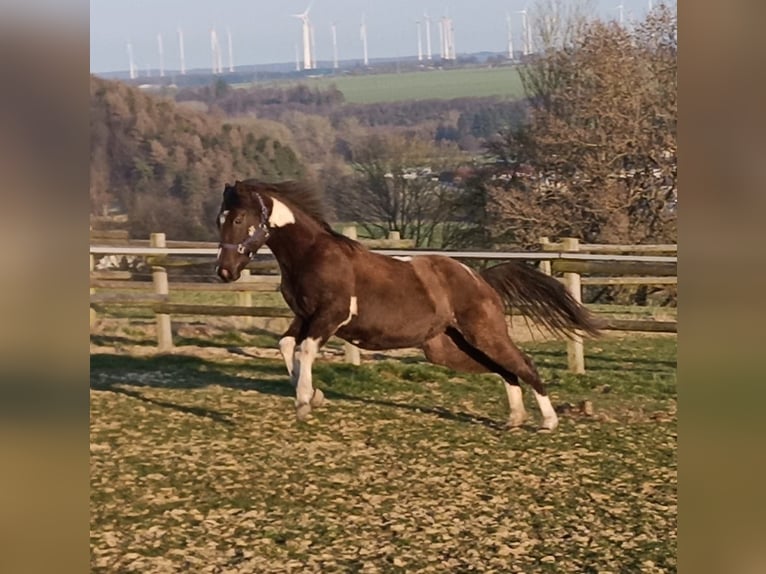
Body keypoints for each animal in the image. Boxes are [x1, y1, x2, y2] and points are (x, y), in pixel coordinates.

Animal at [215, 179, 600, 431]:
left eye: (238, 219)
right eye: (219, 220)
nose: (224, 271)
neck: (311, 255)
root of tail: (480, 279)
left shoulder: (329, 317)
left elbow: (305, 350)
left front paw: (304, 402)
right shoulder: (305, 316)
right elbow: (285, 346)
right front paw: (315, 394)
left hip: (483, 333)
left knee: (523, 363)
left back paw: (548, 421)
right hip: (450, 348)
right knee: (505, 369)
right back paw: (514, 419)